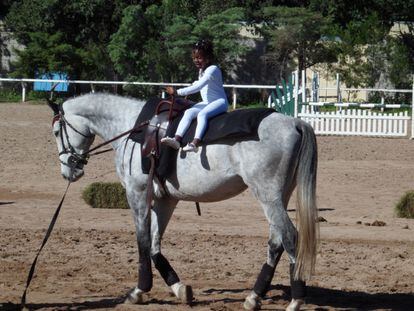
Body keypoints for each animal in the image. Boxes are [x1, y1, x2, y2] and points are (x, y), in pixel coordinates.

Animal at [49, 94, 320, 310]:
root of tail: (295, 122)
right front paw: (179, 288)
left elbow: (143, 241)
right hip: (278, 197)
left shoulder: (137, 194)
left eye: (56, 132)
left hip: (268, 197)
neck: (132, 129)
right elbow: (154, 245)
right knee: (276, 242)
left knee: (290, 237)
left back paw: (296, 300)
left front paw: (139, 290)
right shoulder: (165, 200)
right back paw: (254, 296)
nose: (68, 170)